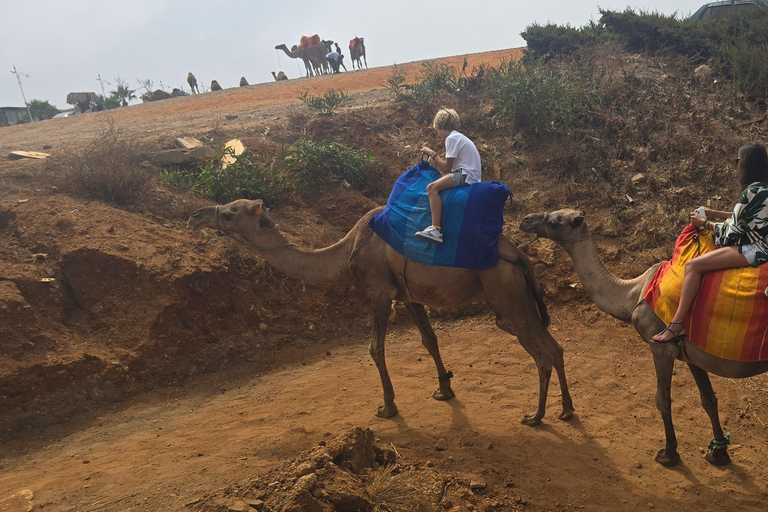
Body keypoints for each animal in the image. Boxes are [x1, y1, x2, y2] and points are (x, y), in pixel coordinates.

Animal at [190, 198, 576, 426]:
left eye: (230, 211)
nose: (195, 215)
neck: (346, 250)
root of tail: (518, 253)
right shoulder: (409, 295)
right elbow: (429, 340)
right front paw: (444, 391)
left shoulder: (379, 290)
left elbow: (375, 348)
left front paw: (387, 407)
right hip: (520, 297)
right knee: (555, 347)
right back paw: (566, 409)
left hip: (505, 294)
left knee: (541, 354)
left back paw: (535, 416)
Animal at [516, 209, 768, 468]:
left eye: (554, 221)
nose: (526, 220)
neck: (634, 292)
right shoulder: (692, 353)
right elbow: (708, 399)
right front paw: (718, 453)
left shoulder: (662, 348)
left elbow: (662, 400)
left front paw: (669, 454)